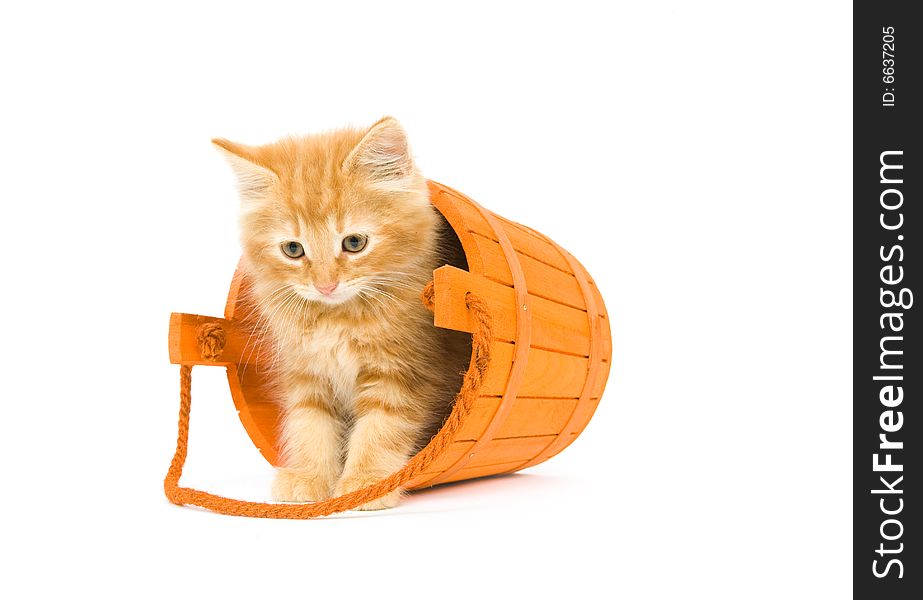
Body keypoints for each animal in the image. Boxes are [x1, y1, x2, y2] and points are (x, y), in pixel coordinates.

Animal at [212, 118, 466, 510]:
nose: (325, 285)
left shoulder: (401, 372)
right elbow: (310, 424)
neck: (339, 320)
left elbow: (380, 428)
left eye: (354, 243)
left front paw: (366, 483)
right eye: (293, 249)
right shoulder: (307, 372)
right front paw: (308, 476)